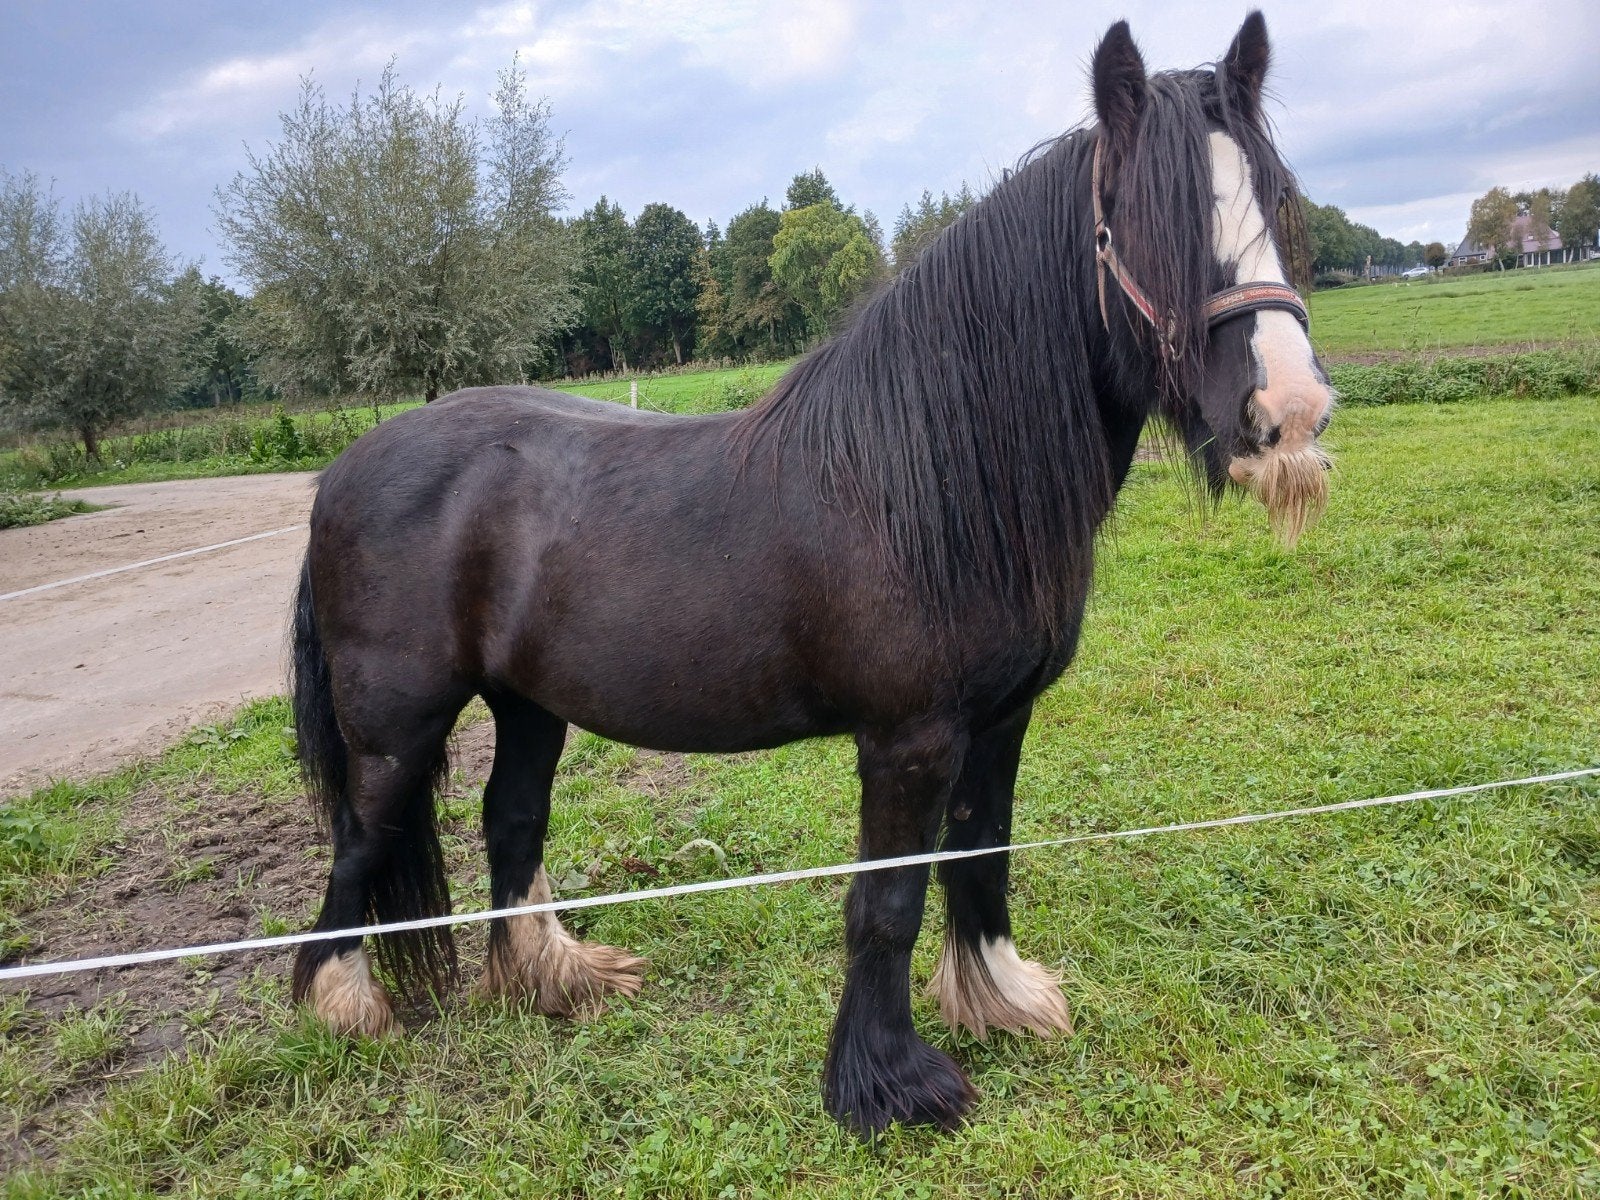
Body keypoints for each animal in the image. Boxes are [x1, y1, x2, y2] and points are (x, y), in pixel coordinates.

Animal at [287, 12, 1333, 1135]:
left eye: (1274, 195)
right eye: (1143, 218)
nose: (1289, 414)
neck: (926, 480)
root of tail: (342, 470)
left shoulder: (1000, 721)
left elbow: (981, 855)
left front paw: (996, 999)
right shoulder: (909, 740)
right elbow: (887, 899)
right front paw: (886, 1084)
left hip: (529, 704)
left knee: (510, 822)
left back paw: (552, 979)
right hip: (397, 727)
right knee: (357, 842)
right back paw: (343, 1008)